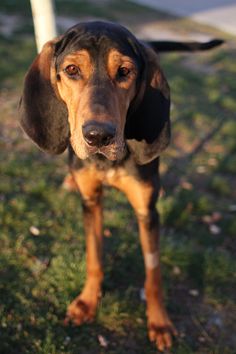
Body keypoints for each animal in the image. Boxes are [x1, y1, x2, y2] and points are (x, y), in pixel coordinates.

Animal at [19, 22, 222, 352]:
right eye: (72, 70)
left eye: (125, 71)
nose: (98, 136)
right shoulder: (91, 202)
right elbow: (94, 258)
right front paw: (87, 303)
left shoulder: (147, 211)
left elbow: (153, 274)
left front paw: (159, 323)